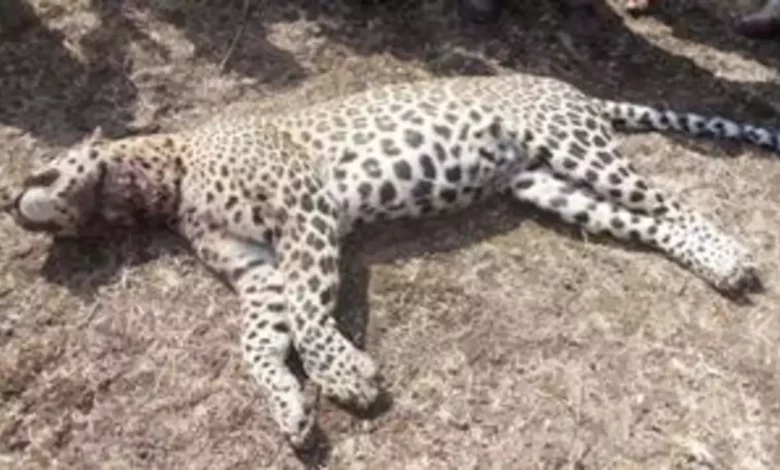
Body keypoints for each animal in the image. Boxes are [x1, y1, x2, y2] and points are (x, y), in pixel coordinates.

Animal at [4, 71, 772, 450]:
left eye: (46, 166)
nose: (12, 200)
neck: (168, 180)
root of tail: (568, 87)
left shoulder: (304, 210)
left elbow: (311, 313)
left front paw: (345, 377)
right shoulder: (257, 272)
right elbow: (258, 342)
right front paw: (291, 409)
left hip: (576, 148)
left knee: (672, 203)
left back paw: (732, 256)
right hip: (548, 185)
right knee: (648, 224)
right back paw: (715, 265)